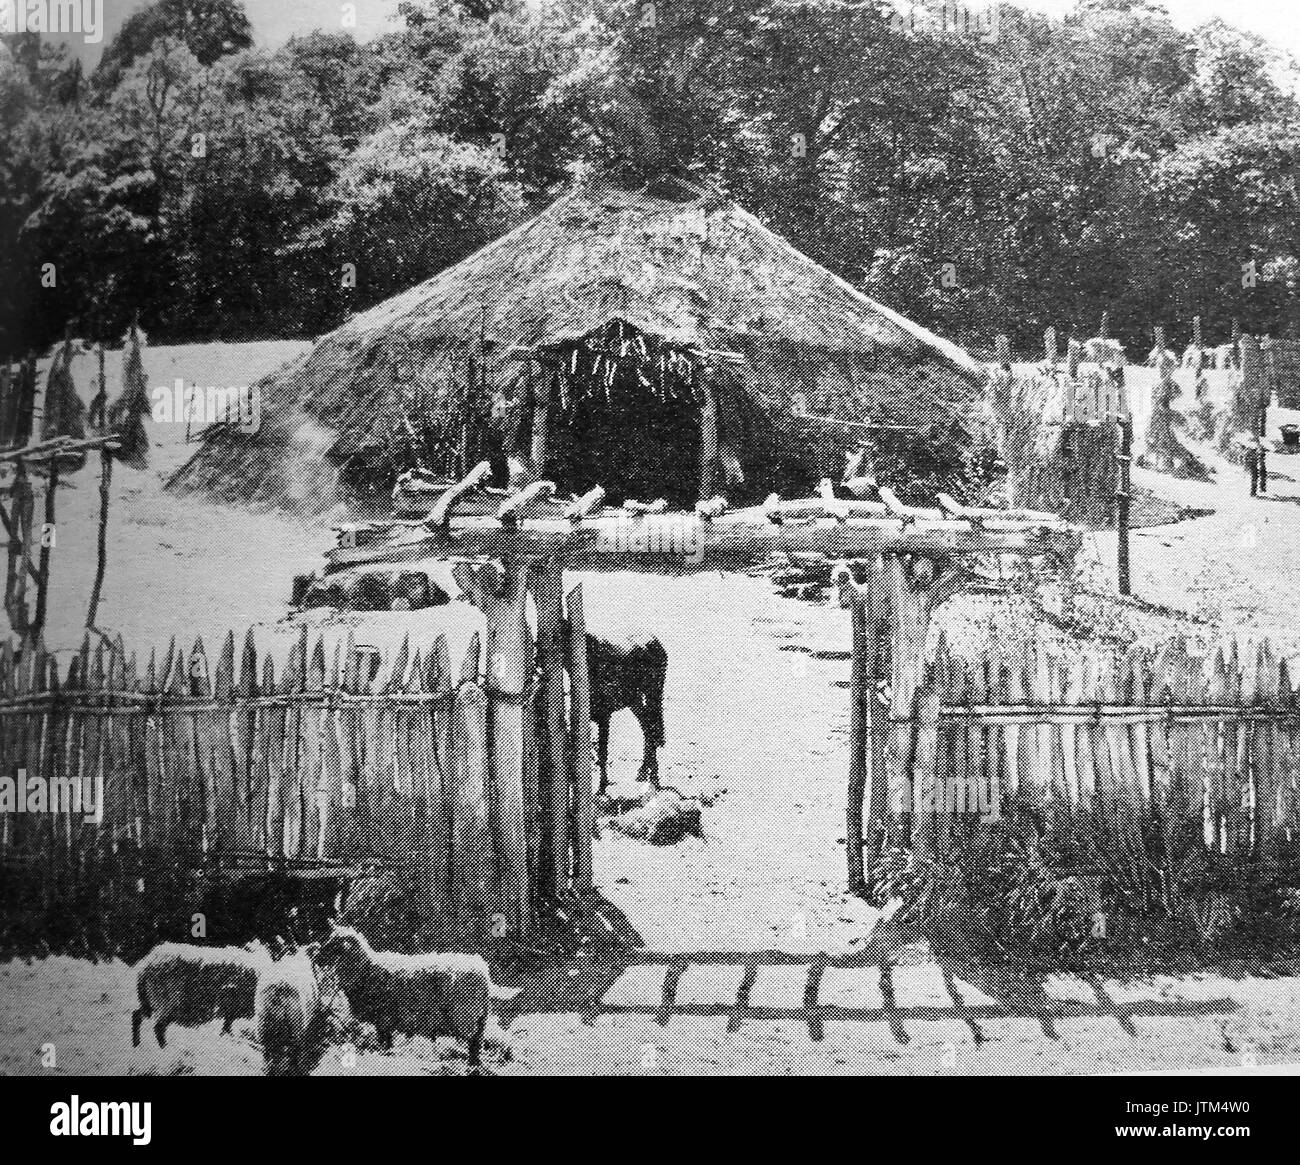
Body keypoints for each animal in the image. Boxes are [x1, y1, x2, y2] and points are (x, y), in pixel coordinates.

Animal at [131, 941, 271, 1050]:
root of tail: (146, 965)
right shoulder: (231, 1006)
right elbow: (227, 1025)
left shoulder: (230, 1009)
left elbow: (227, 1026)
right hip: (166, 1000)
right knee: (158, 1025)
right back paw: (165, 1048)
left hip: (148, 1001)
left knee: (137, 1015)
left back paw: (137, 1044)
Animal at [313, 925, 517, 1071]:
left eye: (334, 944)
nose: (316, 958)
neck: (366, 969)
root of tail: (483, 971)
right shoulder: (386, 1020)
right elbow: (387, 1042)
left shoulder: (383, 1017)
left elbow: (384, 1041)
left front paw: (383, 1056)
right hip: (480, 1016)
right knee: (478, 1041)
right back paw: (474, 1065)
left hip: (465, 1014)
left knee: (473, 1040)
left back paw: (470, 1066)